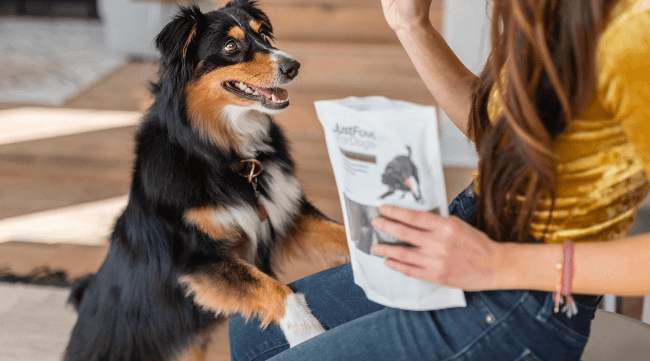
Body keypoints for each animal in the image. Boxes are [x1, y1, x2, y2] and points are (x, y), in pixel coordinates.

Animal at [64, 1, 350, 358]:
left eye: (262, 35)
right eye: (230, 47)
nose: (293, 66)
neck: (223, 154)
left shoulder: (288, 216)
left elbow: (340, 235)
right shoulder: (196, 259)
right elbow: (274, 288)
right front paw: (308, 333)